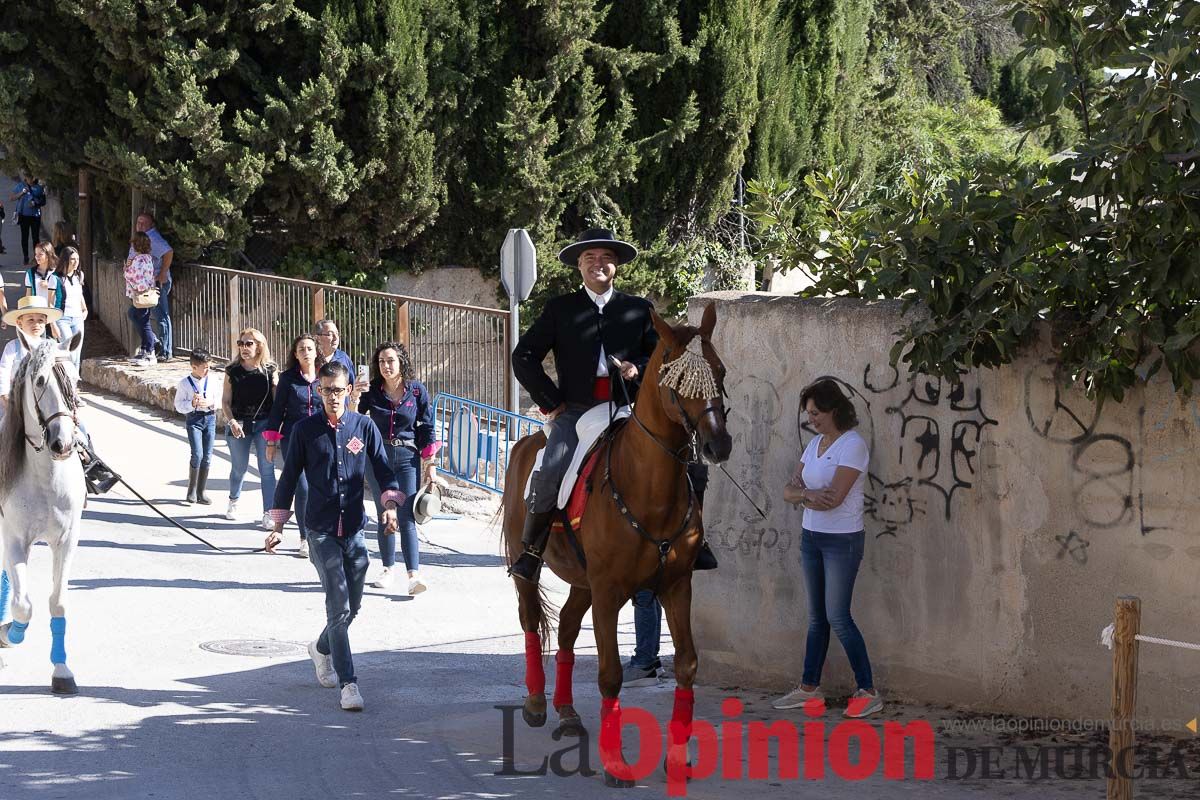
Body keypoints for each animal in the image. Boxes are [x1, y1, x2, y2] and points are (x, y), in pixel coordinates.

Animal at [504, 303, 734, 786]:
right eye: (677, 380)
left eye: (720, 370)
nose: (717, 444)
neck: (649, 488)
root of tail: (530, 439)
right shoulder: (610, 592)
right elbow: (609, 674)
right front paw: (615, 763)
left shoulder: (675, 586)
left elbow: (687, 664)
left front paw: (678, 757)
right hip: (529, 568)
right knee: (531, 620)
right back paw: (536, 702)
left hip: (583, 582)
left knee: (568, 628)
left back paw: (567, 710)